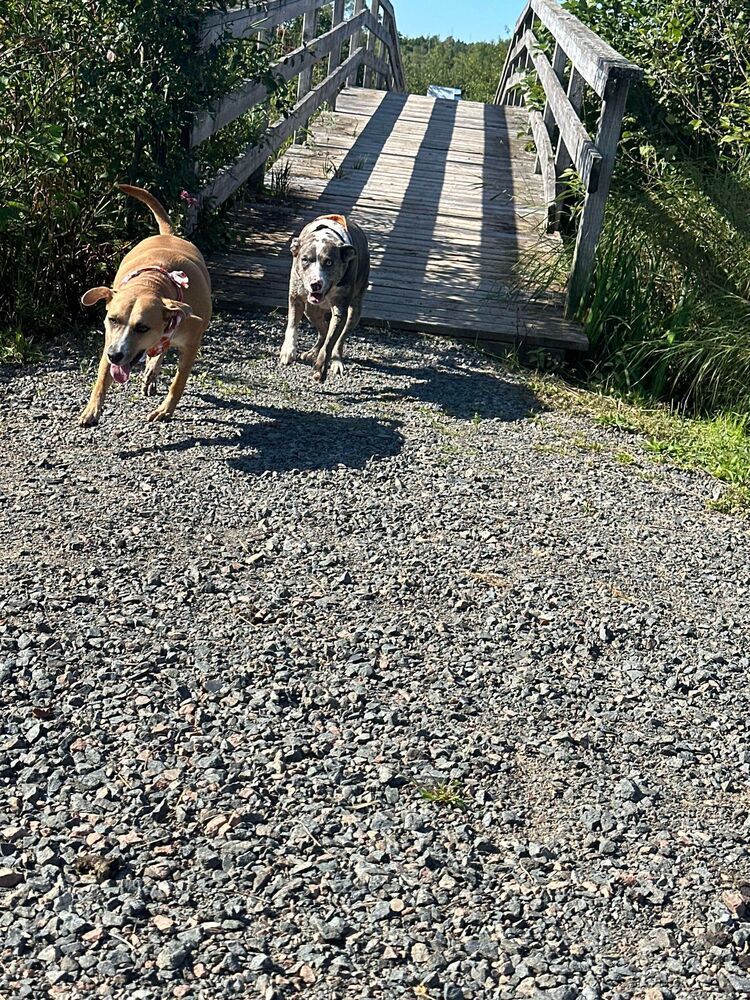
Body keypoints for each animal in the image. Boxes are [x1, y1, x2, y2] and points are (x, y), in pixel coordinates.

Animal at [79, 184, 212, 426]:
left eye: (142, 327)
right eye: (113, 320)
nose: (115, 355)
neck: (151, 284)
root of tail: (168, 235)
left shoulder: (191, 341)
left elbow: (178, 381)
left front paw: (165, 410)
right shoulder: (110, 340)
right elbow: (102, 377)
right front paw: (92, 410)